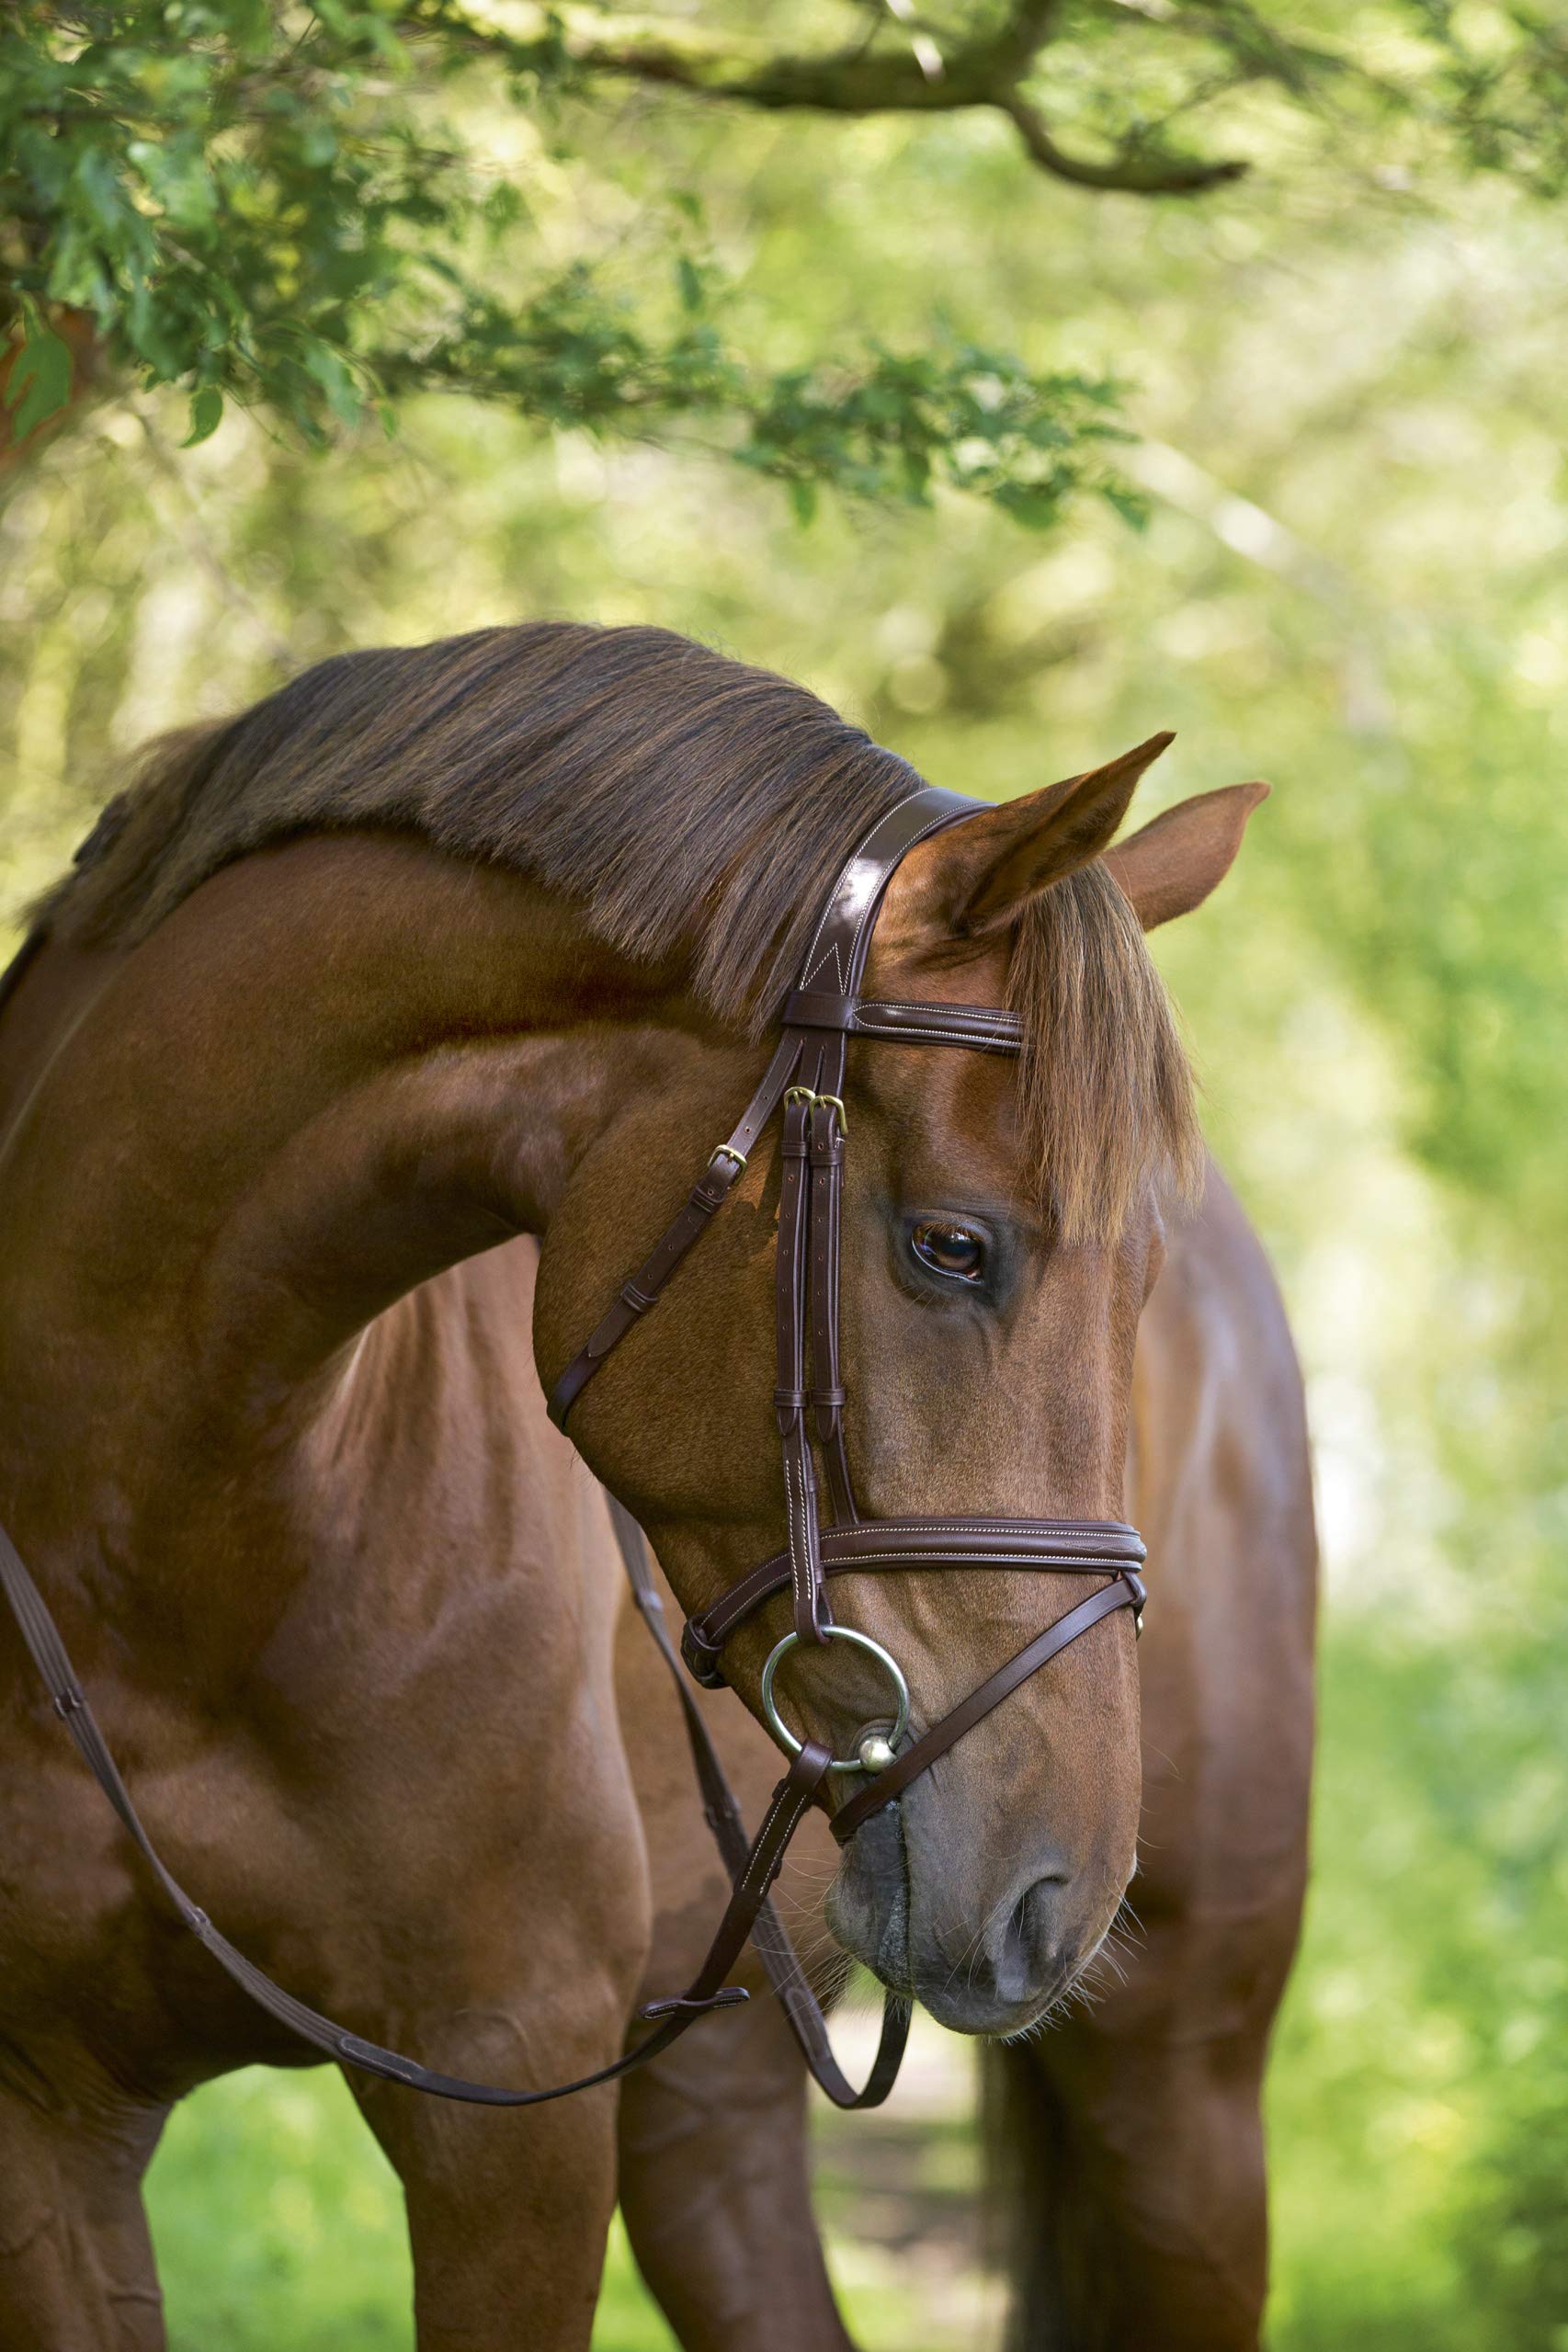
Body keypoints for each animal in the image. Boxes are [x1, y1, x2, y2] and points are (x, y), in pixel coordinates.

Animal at [0, 620, 1282, 2349]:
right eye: (953, 1246)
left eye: (1136, 1277)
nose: (1056, 1890)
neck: (153, 1543)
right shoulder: (46, 2124)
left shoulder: (512, 2113)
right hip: (715, 2079)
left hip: (1182, 2085)